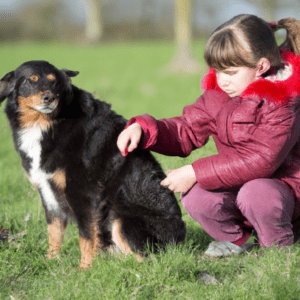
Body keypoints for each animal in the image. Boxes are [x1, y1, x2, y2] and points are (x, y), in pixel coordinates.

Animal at [0, 61, 186, 270]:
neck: (46, 124)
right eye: (30, 80)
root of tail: (180, 240)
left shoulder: (84, 193)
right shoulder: (47, 190)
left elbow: (86, 236)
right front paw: (51, 262)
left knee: (145, 260)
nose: (49, 98)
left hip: (120, 218)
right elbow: (54, 232)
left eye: (54, 81)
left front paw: (84, 269)